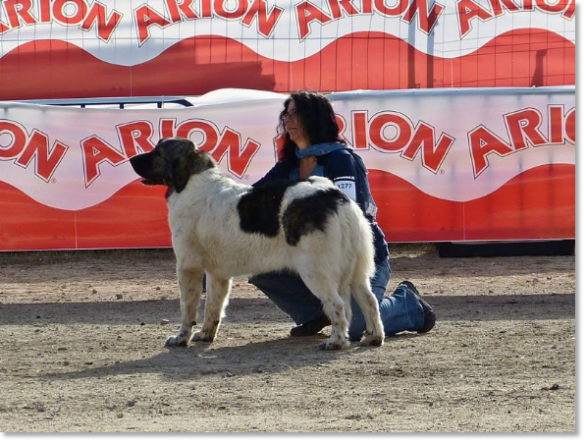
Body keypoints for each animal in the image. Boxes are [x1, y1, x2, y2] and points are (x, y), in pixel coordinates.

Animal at [129, 138, 384, 350]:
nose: (131, 159)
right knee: (370, 301)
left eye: (158, 152)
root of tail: (335, 197)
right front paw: (205, 335)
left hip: (315, 271)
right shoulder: (217, 274)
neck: (191, 182)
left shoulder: (188, 267)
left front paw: (181, 338)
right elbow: (213, 307)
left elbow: (188, 309)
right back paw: (374, 338)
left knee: (338, 305)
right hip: (356, 271)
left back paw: (336, 342)